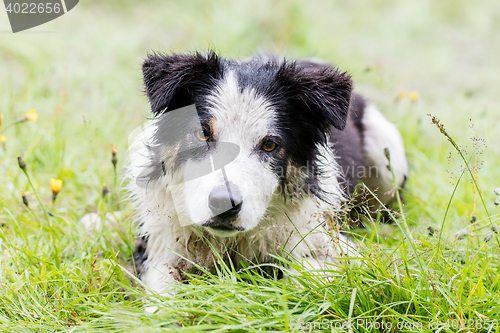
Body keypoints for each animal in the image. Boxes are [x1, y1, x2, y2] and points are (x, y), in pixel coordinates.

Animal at [124, 51, 406, 296]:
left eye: (270, 144)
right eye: (202, 134)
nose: (224, 203)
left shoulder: (333, 241)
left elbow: (306, 271)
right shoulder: (155, 244)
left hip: (387, 155)